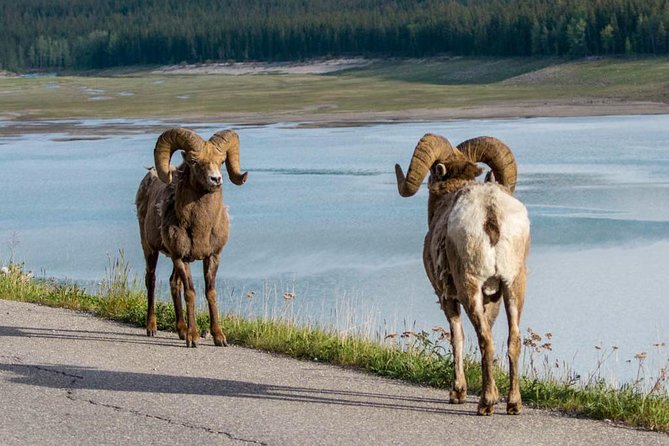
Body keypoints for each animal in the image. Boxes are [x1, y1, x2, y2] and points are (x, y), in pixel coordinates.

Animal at [136, 127, 248, 346]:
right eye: (195, 162)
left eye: (221, 161)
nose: (216, 180)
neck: (201, 228)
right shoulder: (182, 258)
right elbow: (191, 293)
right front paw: (193, 338)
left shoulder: (212, 256)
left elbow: (210, 292)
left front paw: (219, 337)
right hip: (150, 249)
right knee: (151, 280)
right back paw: (151, 328)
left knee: (173, 283)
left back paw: (180, 330)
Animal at [394, 133, 528, 414]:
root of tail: (490, 211)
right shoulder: (493, 298)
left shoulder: (447, 296)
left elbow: (457, 337)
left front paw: (457, 393)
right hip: (514, 287)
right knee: (512, 340)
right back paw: (513, 404)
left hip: (470, 288)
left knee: (485, 340)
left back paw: (485, 404)